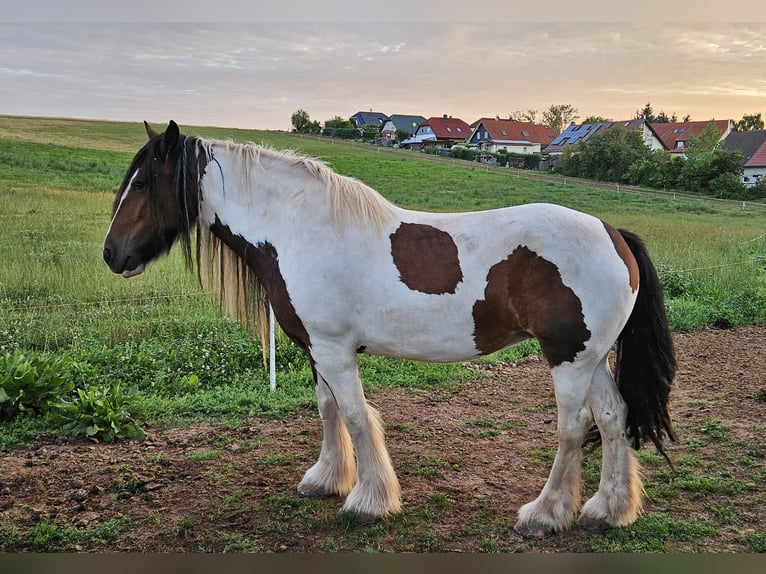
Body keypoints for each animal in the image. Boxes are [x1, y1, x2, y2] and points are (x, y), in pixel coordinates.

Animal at [103, 121, 680, 540]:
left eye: (144, 182)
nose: (112, 255)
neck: (300, 229)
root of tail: (613, 233)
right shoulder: (318, 349)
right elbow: (329, 410)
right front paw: (327, 480)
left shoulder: (335, 350)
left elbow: (357, 417)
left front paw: (369, 502)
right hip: (591, 357)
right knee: (613, 418)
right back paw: (608, 509)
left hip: (568, 358)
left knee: (573, 428)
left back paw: (544, 515)